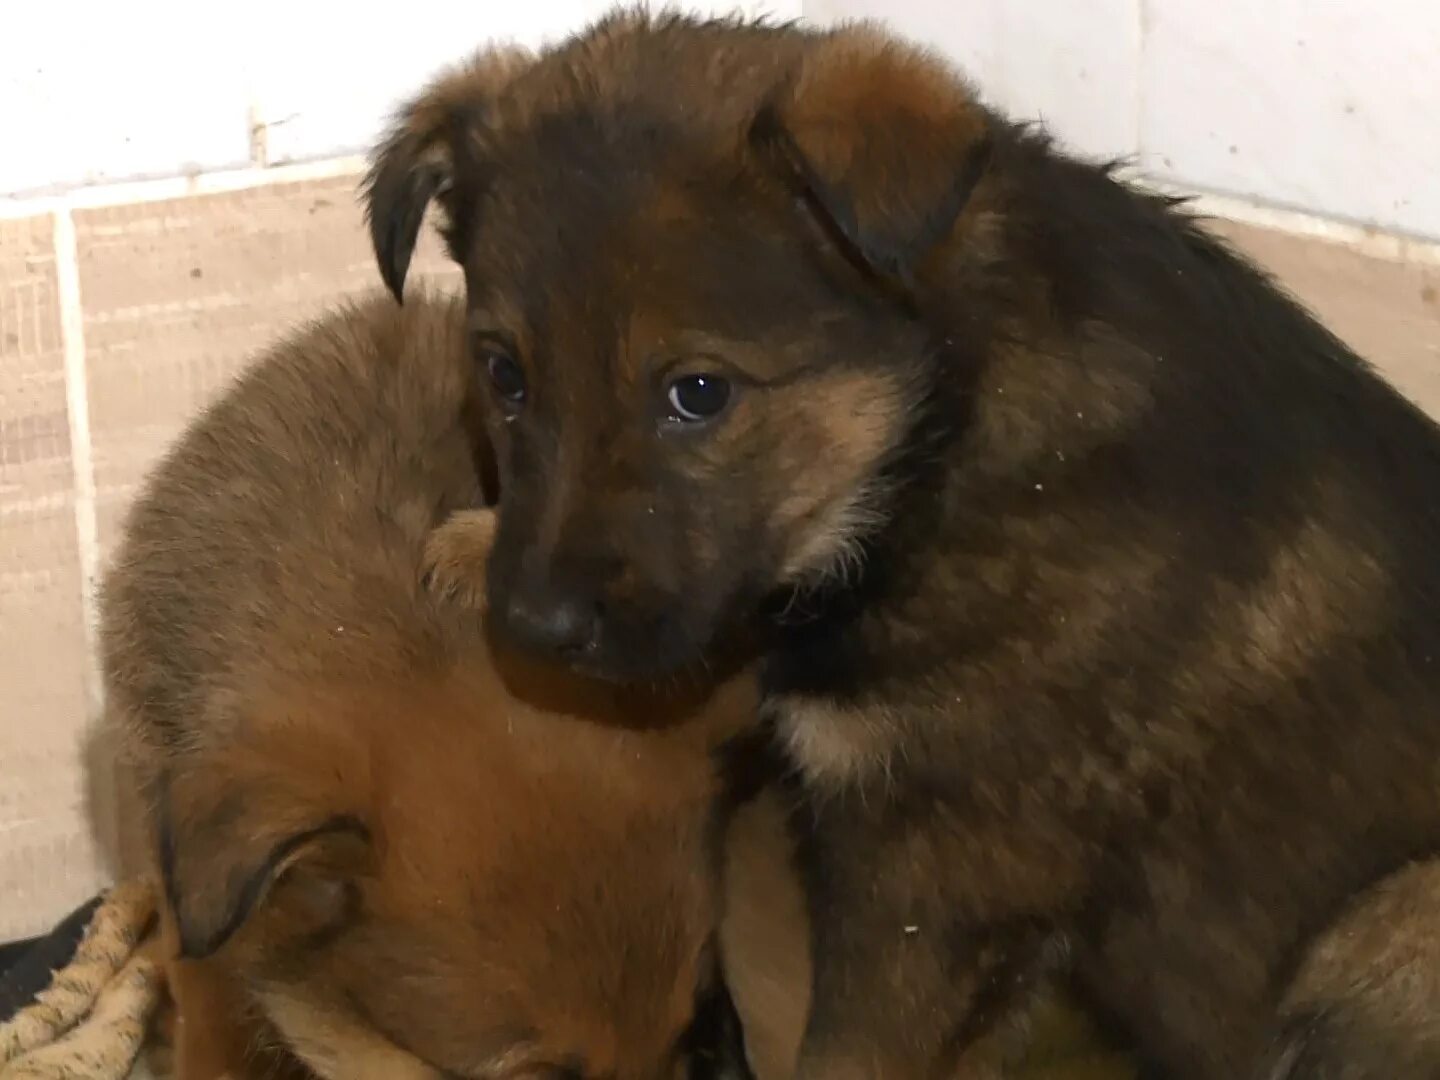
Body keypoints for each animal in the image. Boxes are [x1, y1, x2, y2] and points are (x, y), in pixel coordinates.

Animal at [362, 10, 1440, 1080]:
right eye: (503, 373)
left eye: (698, 392)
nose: (532, 628)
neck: (939, 441)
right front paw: (472, 540)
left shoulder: (934, 884)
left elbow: (848, 1054)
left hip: (1390, 924)